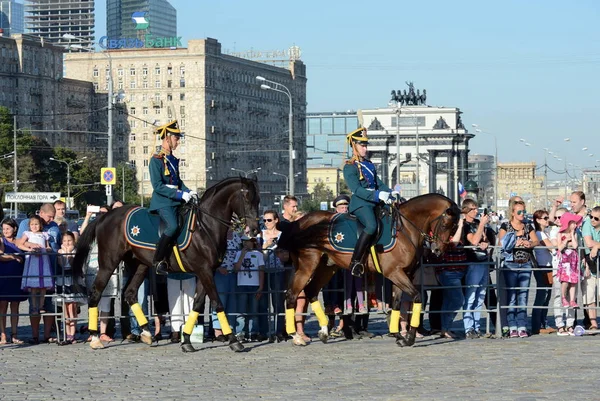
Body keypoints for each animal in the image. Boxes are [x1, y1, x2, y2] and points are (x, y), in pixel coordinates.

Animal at [71, 177, 258, 350]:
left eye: (258, 199)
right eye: (246, 198)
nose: (255, 229)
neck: (205, 226)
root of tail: (105, 215)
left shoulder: (207, 271)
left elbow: (197, 304)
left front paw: (186, 340)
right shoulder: (204, 270)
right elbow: (218, 303)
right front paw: (233, 340)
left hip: (140, 265)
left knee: (130, 293)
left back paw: (147, 333)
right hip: (108, 263)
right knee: (96, 293)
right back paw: (95, 338)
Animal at [278, 192, 460, 346]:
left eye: (455, 227)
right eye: (445, 224)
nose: (438, 250)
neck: (405, 229)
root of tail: (298, 223)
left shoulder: (403, 274)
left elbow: (395, 303)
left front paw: (397, 335)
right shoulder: (394, 272)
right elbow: (417, 297)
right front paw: (409, 338)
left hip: (327, 267)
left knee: (311, 291)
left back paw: (323, 330)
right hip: (307, 265)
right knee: (292, 295)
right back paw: (296, 336)